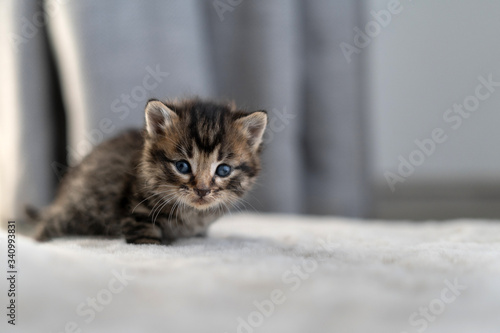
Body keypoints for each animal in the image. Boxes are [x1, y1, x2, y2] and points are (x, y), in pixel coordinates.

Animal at [29, 98, 268, 244]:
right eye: (182, 166)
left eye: (224, 169)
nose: (202, 190)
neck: (192, 213)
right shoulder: (137, 211)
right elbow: (146, 241)